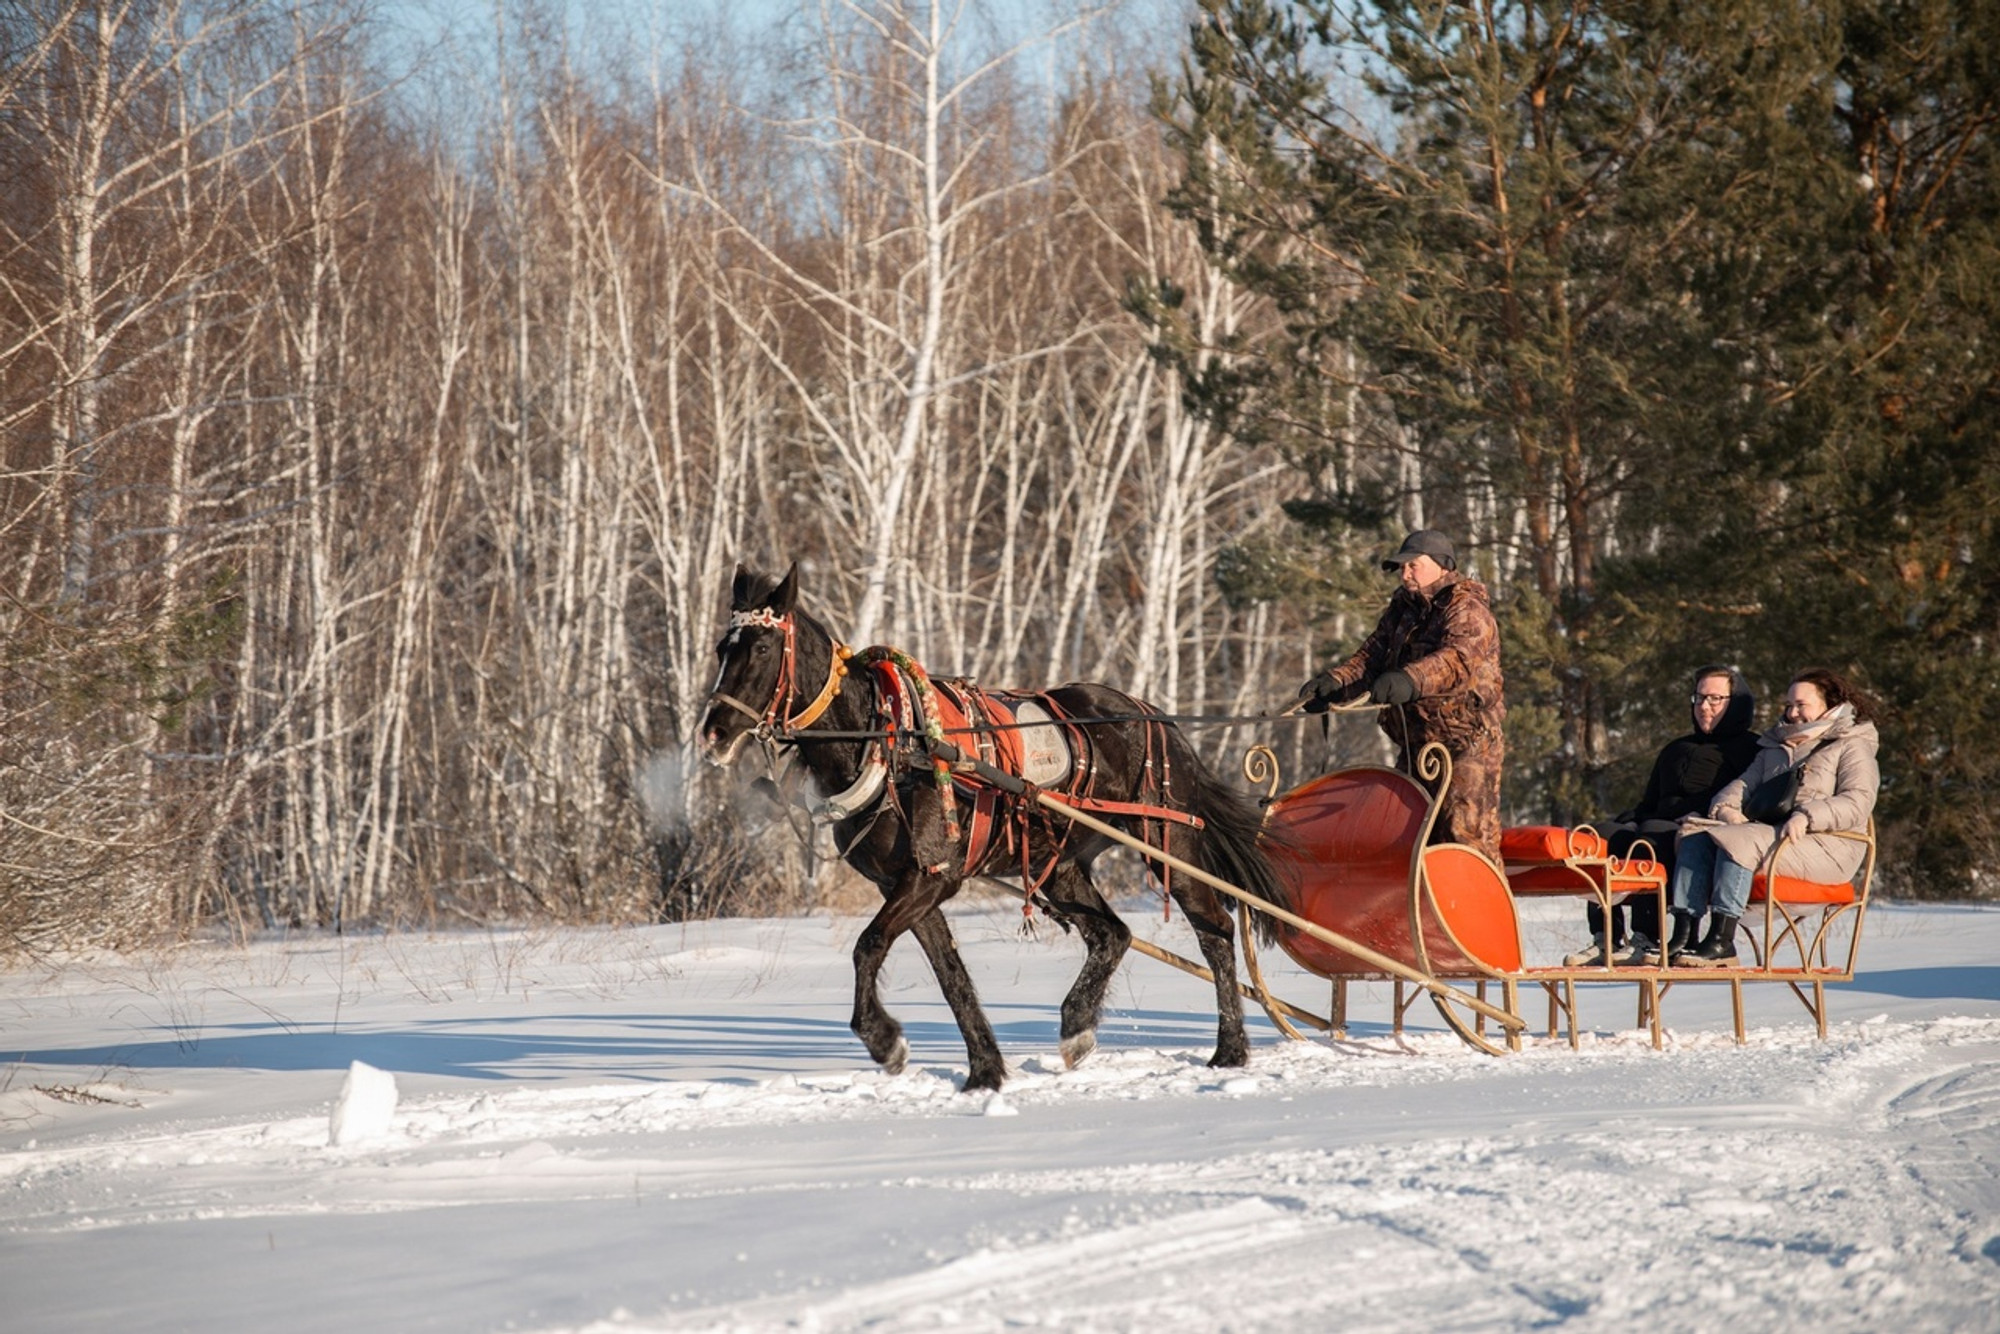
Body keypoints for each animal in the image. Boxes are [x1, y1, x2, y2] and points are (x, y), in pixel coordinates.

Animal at [704, 564, 1288, 1096]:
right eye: (719, 650)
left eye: (761, 648)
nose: (714, 733)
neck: (891, 743)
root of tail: (1155, 716)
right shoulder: (908, 885)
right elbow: (952, 978)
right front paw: (984, 1070)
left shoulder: (931, 878)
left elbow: (867, 946)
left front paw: (883, 1040)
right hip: (1063, 866)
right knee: (1113, 934)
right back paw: (1077, 1025)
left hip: (1166, 843)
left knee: (1215, 930)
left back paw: (1229, 1050)